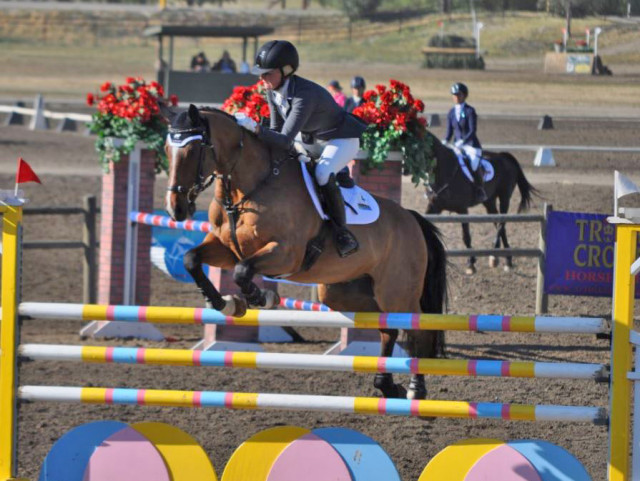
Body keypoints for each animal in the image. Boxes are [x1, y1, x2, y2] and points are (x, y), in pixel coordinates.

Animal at [162, 106, 448, 402]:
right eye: (167, 149)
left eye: (193, 150)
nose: (175, 209)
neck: (247, 189)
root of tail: (411, 219)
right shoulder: (227, 249)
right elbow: (191, 259)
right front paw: (224, 303)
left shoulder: (285, 253)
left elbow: (243, 271)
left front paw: (261, 297)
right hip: (344, 293)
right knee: (387, 327)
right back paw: (387, 385)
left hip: (398, 292)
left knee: (419, 329)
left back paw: (416, 388)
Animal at [428, 138, 536, 274]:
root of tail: (503, 156)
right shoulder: (434, 206)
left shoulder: (462, 209)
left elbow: (466, 237)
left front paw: (471, 264)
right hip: (489, 202)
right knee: (499, 223)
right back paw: (507, 259)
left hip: (504, 197)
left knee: (501, 222)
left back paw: (495, 257)